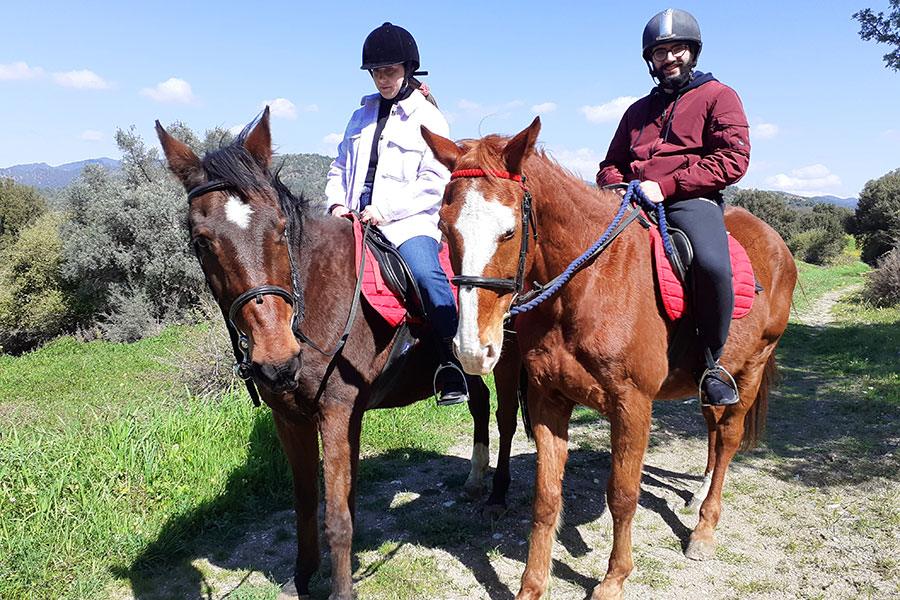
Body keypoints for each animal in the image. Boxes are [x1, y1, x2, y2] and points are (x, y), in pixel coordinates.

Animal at [155, 108, 522, 600]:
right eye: (201, 241)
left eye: (281, 229)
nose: (277, 360)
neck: (315, 298)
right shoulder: (292, 418)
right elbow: (309, 503)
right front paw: (303, 576)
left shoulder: (336, 412)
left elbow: (337, 515)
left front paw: (342, 588)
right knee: (479, 403)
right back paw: (475, 480)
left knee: (505, 416)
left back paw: (497, 495)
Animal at [421, 116, 797, 600]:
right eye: (444, 227)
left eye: (508, 231)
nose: (472, 348)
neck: (588, 285)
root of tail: (776, 243)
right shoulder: (548, 399)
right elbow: (546, 497)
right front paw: (532, 586)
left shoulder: (632, 406)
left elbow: (622, 495)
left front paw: (614, 579)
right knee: (714, 431)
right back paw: (697, 497)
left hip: (750, 368)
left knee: (728, 438)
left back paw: (704, 528)